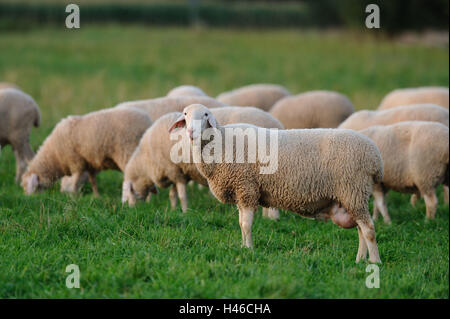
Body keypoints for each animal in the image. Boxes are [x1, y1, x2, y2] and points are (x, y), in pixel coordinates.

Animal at [21, 109, 153, 196]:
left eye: (26, 186)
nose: (29, 199)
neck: (54, 156)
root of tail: (148, 122)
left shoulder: (76, 162)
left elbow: (75, 180)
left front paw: (73, 196)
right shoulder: (89, 164)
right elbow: (92, 180)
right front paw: (96, 196)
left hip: (128, 151)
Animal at [122, 106, 284, 221]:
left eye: (130, 192)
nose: (132, 210)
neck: (146, 159)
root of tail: (277, 124)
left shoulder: (175, 172)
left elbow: (182, 195)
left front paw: (185, 212)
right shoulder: (176, 171)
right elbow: (173, 194)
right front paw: (174, 209)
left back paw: (272, 219)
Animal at [168, 105, 384, 264]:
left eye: (205, 114)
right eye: (185, 114)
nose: (191, 132)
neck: (221, 143)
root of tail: (375, 157)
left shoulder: (247, 187)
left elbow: (246, 224)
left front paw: (249, 250)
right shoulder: (242, 191)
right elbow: (240, 223)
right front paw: (243, 247)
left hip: (353, 190)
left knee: (368, 229)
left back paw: (374, 262)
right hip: (353, 196)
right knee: (361, 229)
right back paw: (359, 260)